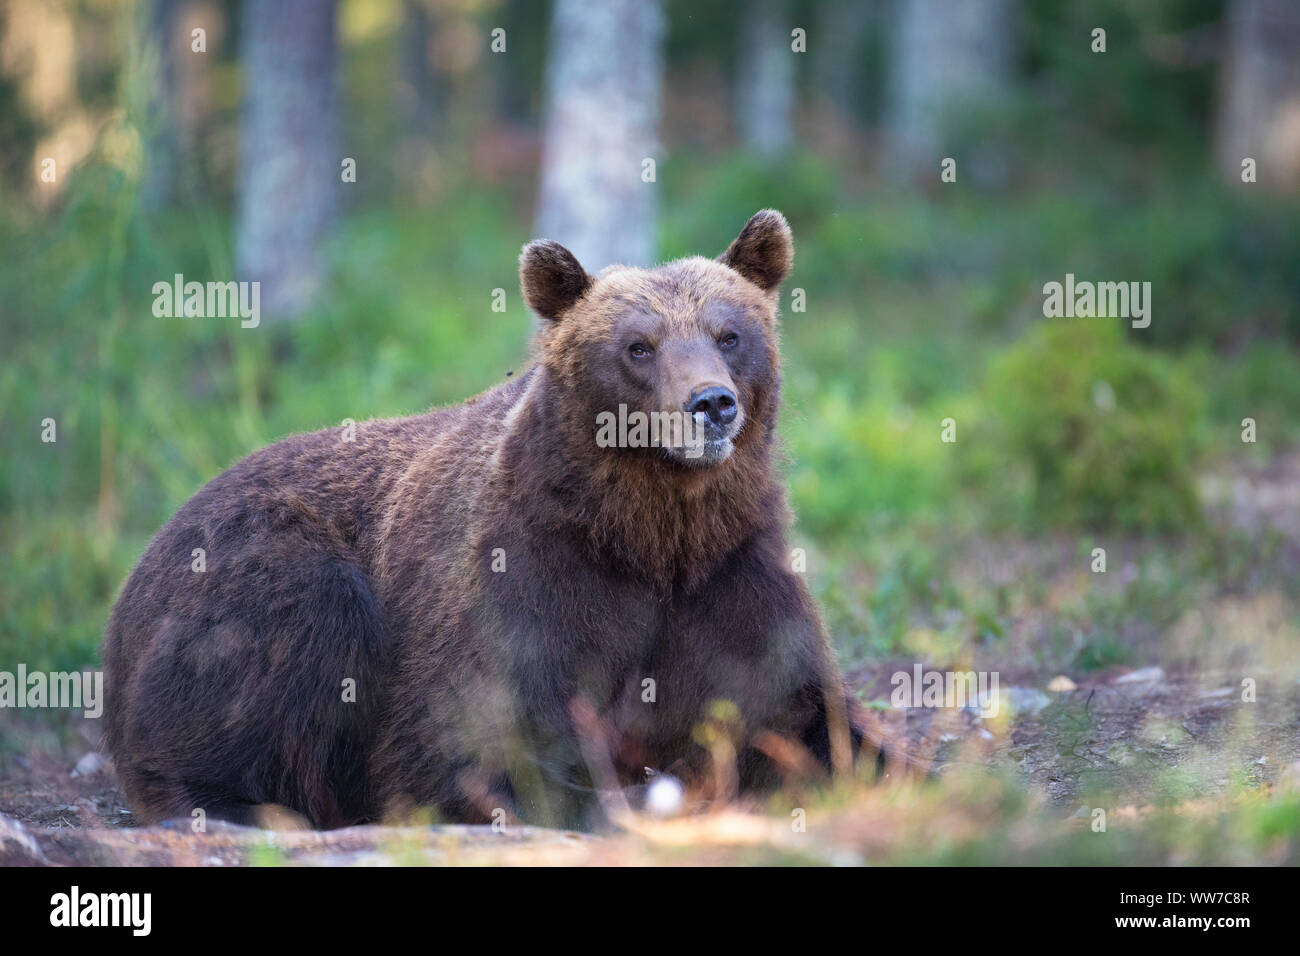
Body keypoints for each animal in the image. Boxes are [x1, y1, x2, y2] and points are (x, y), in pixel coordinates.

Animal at [101, 210, 868, 832]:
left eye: (729, 334)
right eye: (638, 346)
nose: (710, 404)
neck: (650, 532)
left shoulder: (728, 571)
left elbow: (802, 711)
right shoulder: (530, 572)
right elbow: (474, 742)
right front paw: (618, 797)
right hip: (248, 572)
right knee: (299, 624)